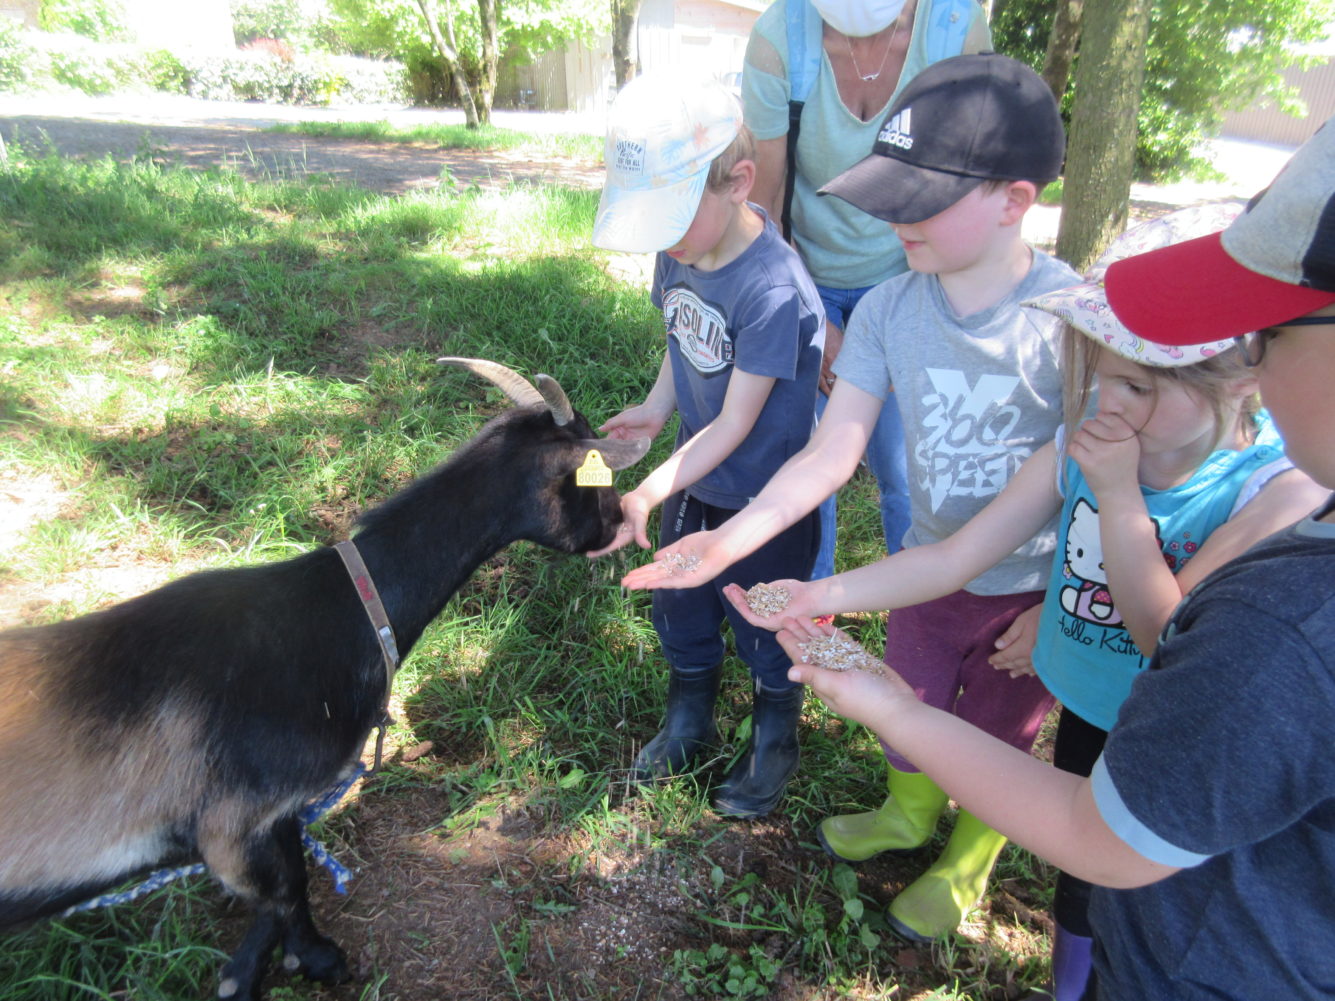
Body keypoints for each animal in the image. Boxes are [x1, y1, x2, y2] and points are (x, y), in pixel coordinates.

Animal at [0, 360, 648, 1001]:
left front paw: (267, 964)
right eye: (594, 482)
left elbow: (291, 877)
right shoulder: (235, 823)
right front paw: (306, 963)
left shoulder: (275, 813)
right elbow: (289, 888)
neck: (346, 610)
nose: (619, 524)